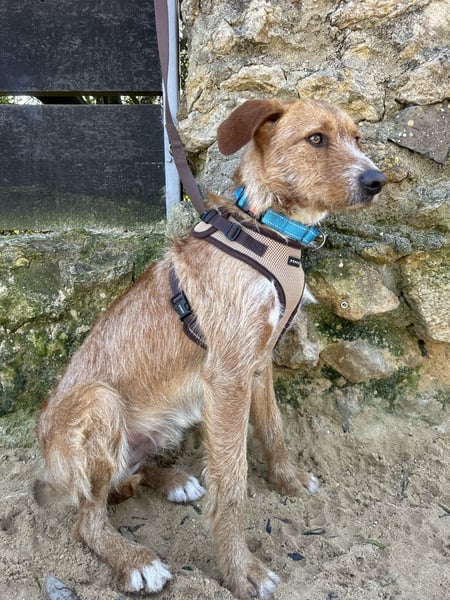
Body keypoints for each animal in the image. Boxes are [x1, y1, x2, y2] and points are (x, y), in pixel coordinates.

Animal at [38, 98, 386, 599]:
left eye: (357, 138)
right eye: (316, 138)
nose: (377, 180)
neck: (270, 230)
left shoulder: (258, 364)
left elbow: (275, 430)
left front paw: (287, 480)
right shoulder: (228, 378)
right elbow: (233, 483)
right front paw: (241, 571)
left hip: (162, 424)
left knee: (126, 478)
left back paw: (174, 480)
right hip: (100, 401)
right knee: (89, 517)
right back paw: (135, 559)